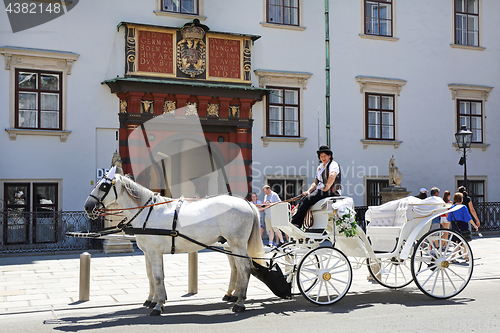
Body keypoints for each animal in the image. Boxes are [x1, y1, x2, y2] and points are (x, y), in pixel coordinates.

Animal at [85, 167, 266, 312]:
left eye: (103, 186)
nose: (87, 207)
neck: (147, 212)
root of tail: (247, 202)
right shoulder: (148, 252)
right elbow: (151, 275)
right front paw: (153, 300)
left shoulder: (154, 252)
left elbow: (157, 277)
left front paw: (158, 305)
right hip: (231, 245)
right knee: (237, 269)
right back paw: (234, 296)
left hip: (237, 244)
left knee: (244, 268)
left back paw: (240, 302)